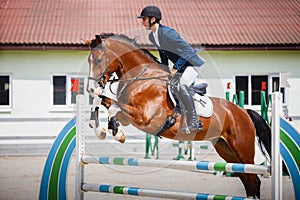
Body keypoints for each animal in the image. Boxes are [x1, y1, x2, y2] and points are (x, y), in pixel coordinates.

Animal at [82, 33, 272, 198]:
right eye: (89, 60)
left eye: (98, 59)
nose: (91, 89)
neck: (141, 78)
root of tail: (243, 112)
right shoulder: (129, 116)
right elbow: (103, 102)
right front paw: (104, 130)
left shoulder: (143, 117)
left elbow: (113, 107)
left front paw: (114, 132)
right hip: (226, 150)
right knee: (248, 180)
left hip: (243, 150)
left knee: (254, 179)